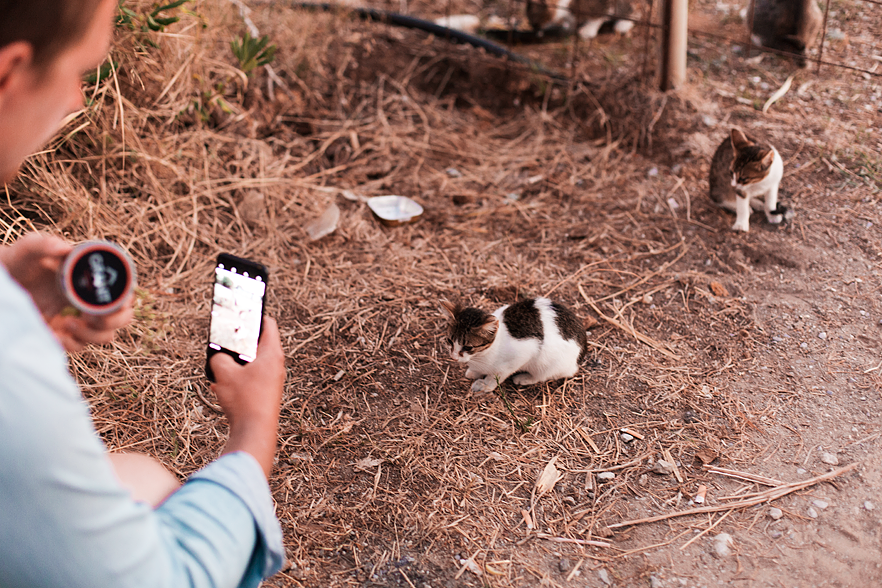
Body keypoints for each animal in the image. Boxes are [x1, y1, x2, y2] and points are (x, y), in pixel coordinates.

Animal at [438, 296, 584, 392]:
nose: (453, 357)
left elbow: (494, 377)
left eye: (468, 347)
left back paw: (524, 378)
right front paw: (474, 372)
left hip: (547, 364)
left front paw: (485, 386)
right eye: (449, 340)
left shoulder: (520, 356)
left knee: (541, 376)